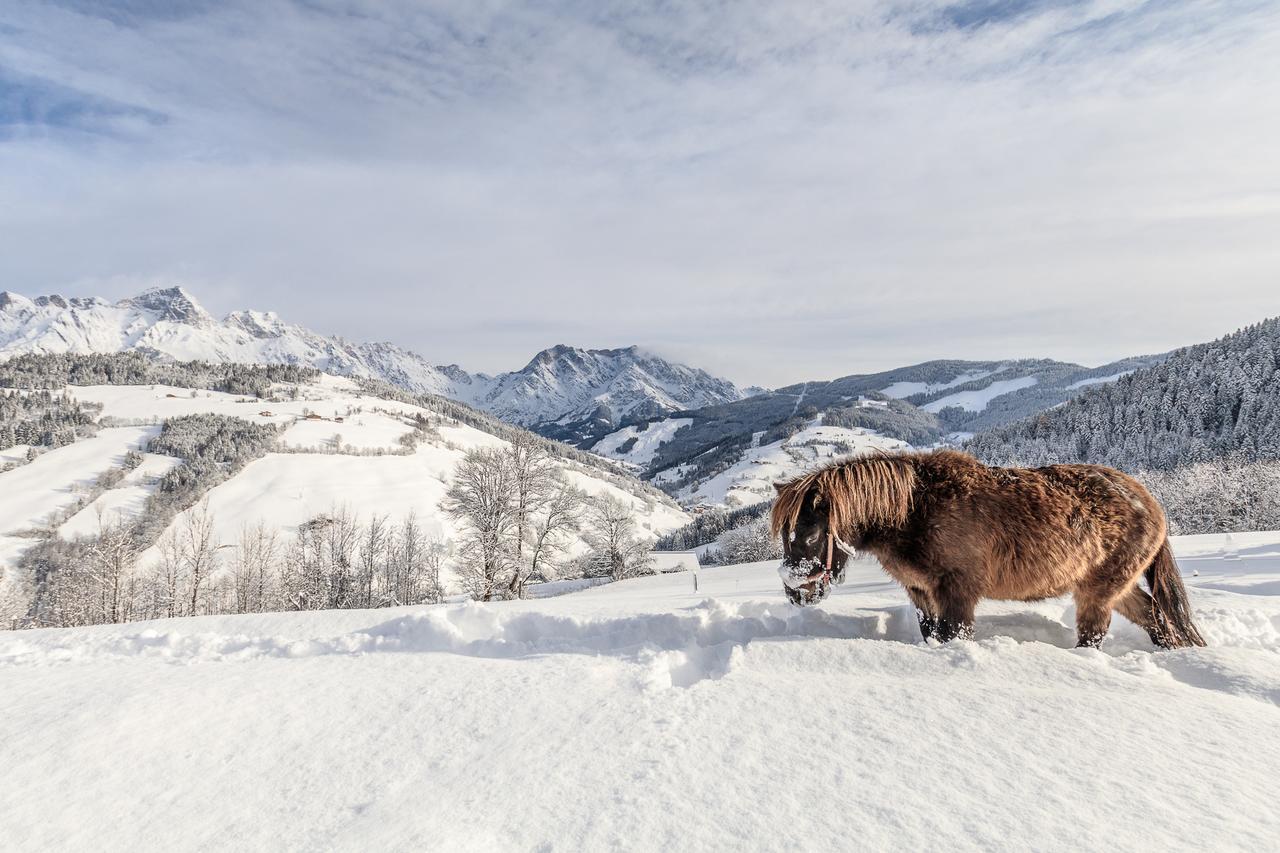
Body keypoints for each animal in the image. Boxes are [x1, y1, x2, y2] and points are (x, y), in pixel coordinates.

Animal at [773, 448, 1203, 648]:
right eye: (784, 536)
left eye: (810, 535)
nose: (796, 592)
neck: (913, 510)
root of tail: (1149, 502)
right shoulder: (921, 592)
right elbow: (932, 634)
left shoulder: (957, 592)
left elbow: (954, 634)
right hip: (1116, 589)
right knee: (1157, 619)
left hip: (1098, 593)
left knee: (1098, 633)